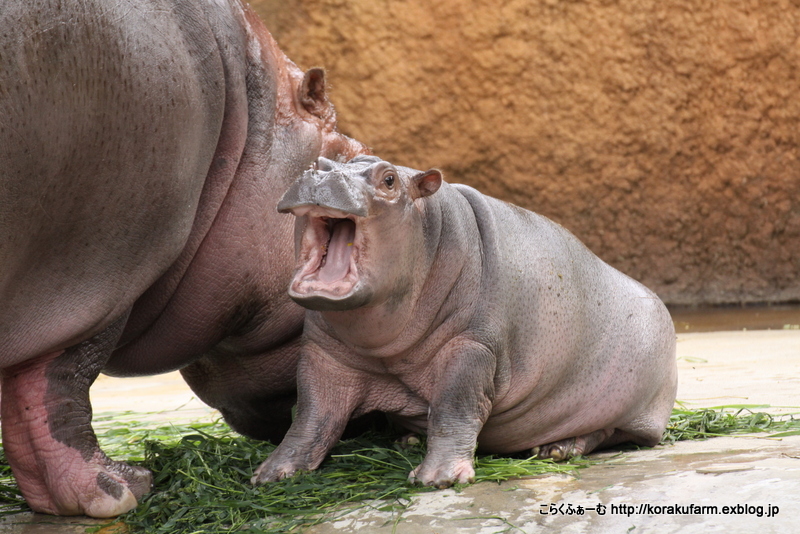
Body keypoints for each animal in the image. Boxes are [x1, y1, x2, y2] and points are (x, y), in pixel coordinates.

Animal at [253, 156, 680, 490]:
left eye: (389, 179)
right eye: (320, 162)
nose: (320, 177)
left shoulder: (471, 346)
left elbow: (454, 406)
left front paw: (437, 479)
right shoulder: (323, 354)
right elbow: (312, 415)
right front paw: (270, 474)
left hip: (632, 405)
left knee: (609, 432)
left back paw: (559, 449)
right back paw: (407, 441)